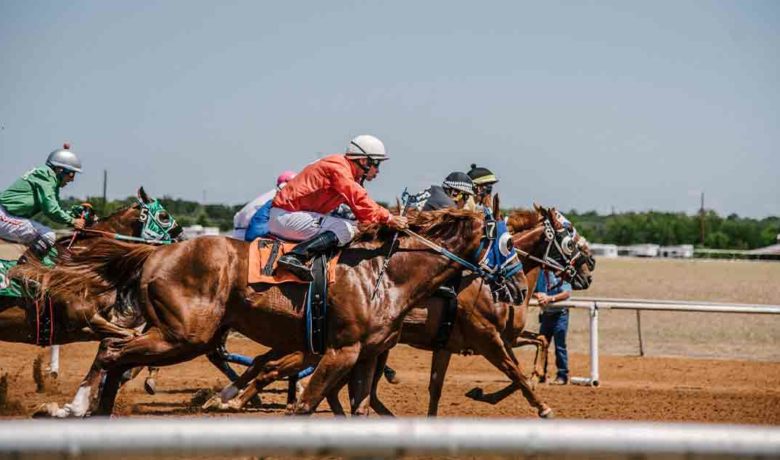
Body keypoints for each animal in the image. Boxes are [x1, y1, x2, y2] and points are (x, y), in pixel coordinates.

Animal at [29, 208, 505, 417]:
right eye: (504, 240)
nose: (511, 288)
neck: (384, 275)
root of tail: (159, 252)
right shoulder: (341, 352)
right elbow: (305, 405)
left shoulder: (366, 357)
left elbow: (358, 410)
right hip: (185, 335)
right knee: (113, 352)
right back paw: (78, 406)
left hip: (181, 333)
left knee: (115, 351)